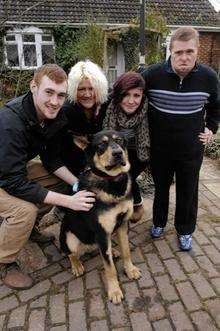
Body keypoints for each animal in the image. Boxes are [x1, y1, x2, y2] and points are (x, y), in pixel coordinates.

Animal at [59, 129, 141, 304]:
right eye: (101, 145)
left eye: (120, 140)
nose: (118, 153)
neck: (112, 181)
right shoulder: (101, 232)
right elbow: (109, 268)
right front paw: (114, 291)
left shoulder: (122, 224)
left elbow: (126, 251)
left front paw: (130, 269)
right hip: (69, 238)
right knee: (71, 254)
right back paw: (76, 265)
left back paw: (113, 251)